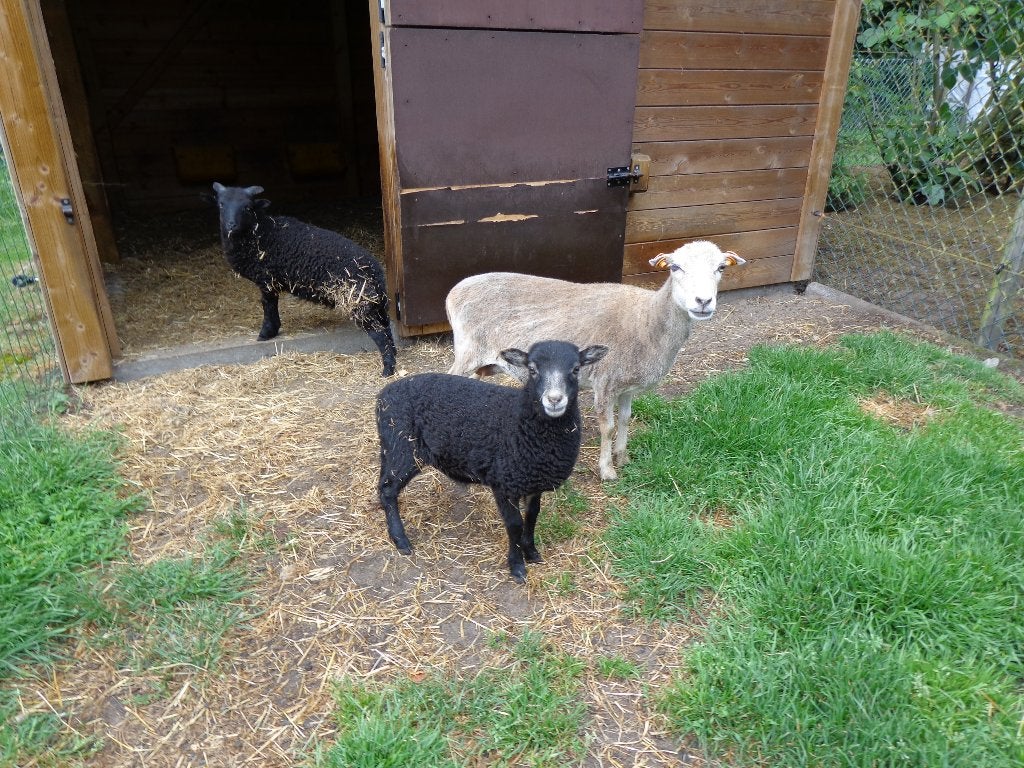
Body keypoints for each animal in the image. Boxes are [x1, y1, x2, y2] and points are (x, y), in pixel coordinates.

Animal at [211, 183, 397, 376]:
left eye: (247, 207)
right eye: (221, 205)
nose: (231, 225)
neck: (260, 232)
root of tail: (375, 271)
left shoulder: (266, 279)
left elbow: (268, 305)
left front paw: (266, 332)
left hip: (359, 303)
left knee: (380, 335)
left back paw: (388, 369)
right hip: (376, 305)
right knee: (387, 330)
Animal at [376, 340, 608, 583]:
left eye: (576, 369)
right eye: (532, 370)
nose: (554, 400)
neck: (521, 423)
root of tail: (384, 395)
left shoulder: (533, 482)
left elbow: (532, 517)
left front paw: (532, 552)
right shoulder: (504, 483)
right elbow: (515, 525)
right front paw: (517, 566)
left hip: (392, 450)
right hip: (402, 449)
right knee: (388, 490)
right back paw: (400, 540)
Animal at [446, 240, 746, 481]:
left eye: (721, 268)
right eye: (675, 267)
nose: (703, 301)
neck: (647, 320)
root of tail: (454, 292)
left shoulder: (627, 386)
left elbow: (625, 419)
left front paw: (623, 458)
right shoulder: (606, 381)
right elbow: (608, 427)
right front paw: (607, 470)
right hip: (468, 351)